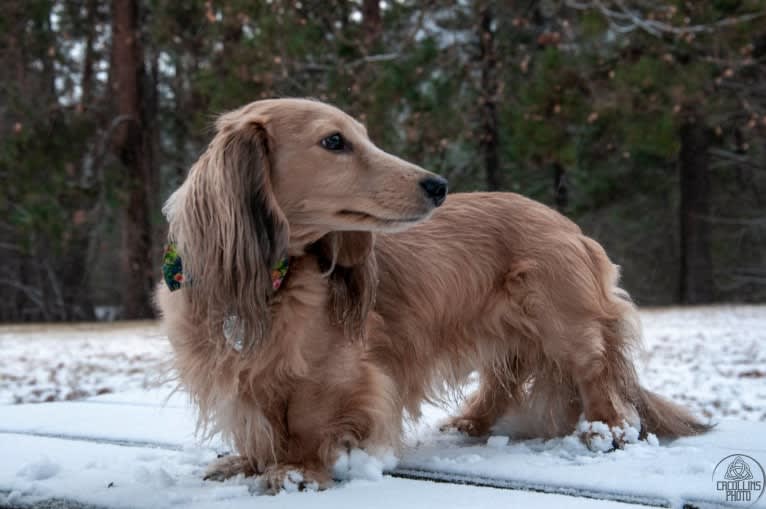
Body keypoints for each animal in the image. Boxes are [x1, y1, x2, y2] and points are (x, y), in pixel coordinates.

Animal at [154, 98, 708, 492]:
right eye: (334, 141)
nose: (439, 185)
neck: (275, 278)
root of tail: (571, 227)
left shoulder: (334, 370)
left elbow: (308, 421)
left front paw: (299, 471)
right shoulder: (237, 374)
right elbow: (258, 425)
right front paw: (248, 463)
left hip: (563, 323)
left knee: (596, 376)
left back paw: (605, 430)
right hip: (504, 327)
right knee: (504, 379)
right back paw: (471, 423)